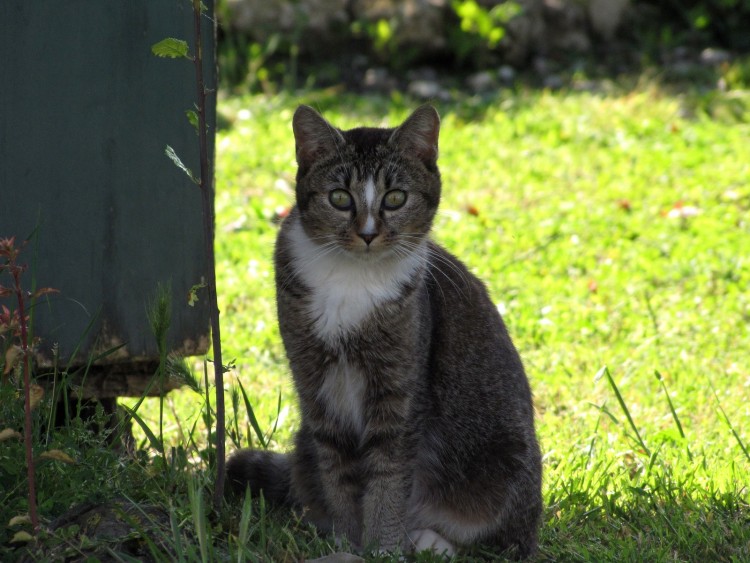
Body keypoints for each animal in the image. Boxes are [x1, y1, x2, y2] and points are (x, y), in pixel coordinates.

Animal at [226, 106, 544, 560]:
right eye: (339, 197)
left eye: (395, 198)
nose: (368, 233)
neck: (352, 280)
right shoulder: (317, 390)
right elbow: (338, 473)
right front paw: (347, 542)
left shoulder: (399, 394)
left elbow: (389, 479)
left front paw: (383, 548)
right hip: (305, 443)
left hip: (503, 465)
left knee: (501, 539)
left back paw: (429, 539)